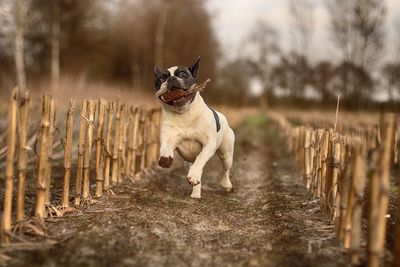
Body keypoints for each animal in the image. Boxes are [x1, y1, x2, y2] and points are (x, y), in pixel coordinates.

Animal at [153, 57, 234, 199]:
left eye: (183, 74)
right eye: (161, 79)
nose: (171, 78)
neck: (184, 113)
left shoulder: (209, 144)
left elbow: (201, 158)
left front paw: (194, 173)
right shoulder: (169, 138)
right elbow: (165, 148)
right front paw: (165, 158)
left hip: (227, 154)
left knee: (225, 169)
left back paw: (225, 184)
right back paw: (195, 193)